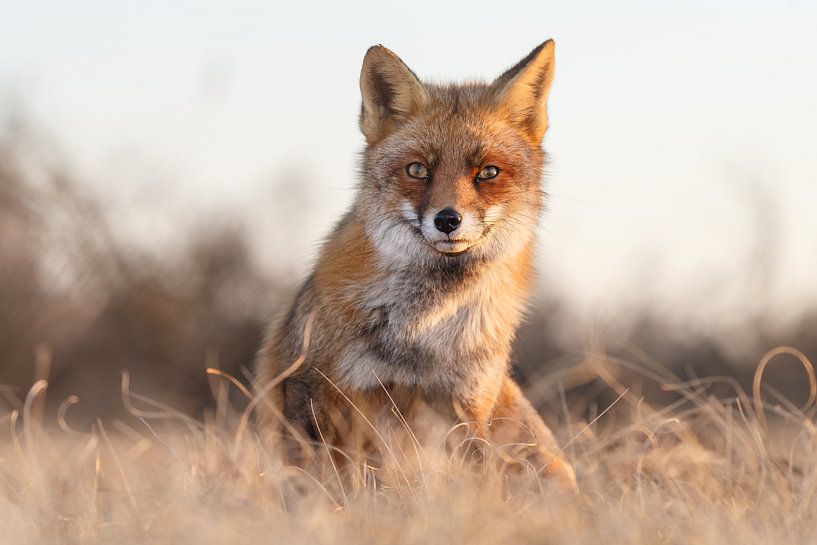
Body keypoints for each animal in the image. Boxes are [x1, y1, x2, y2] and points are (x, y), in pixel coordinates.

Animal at [252, 38, 576, 488]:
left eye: (487, 173)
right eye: (418, 169)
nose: (447, 220)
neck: (423, 327)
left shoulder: (465, 404)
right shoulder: (315, 385)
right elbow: (326, 480)